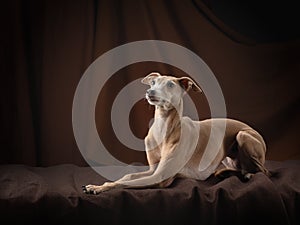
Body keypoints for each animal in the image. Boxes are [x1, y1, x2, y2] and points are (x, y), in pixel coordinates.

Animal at [82, 71, 270, 194]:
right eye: (153, 83)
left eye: (170, 84)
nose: (150, 92)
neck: (163, 128)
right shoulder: (153, 170)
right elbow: (127, 176)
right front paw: (98, 185)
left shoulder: (160, 177)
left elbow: (122, 184)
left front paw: (98, 188)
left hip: (243, 135)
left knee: (263, 171)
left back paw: (248, 174)